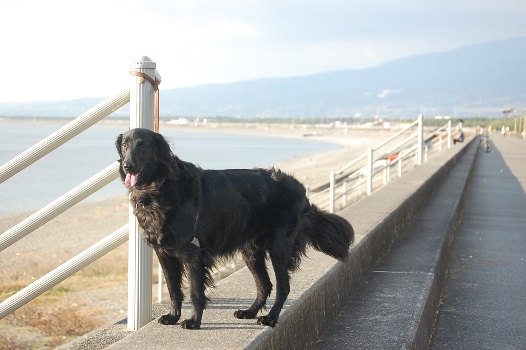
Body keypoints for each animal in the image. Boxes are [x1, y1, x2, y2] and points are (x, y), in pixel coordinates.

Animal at [115, 128, 354, 328]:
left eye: (143, 145)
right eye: (125, 145)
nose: (127, 165)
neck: (159, 188)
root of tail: (301, 190)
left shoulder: (192, 252)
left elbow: (194, 291)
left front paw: (193, 321)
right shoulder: (164, 253)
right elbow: (174, 289)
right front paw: (173, 316)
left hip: (279, 247)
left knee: (282, 286)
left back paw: (270, 318)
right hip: (251, 251)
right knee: (265, 285)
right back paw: (250, 312)